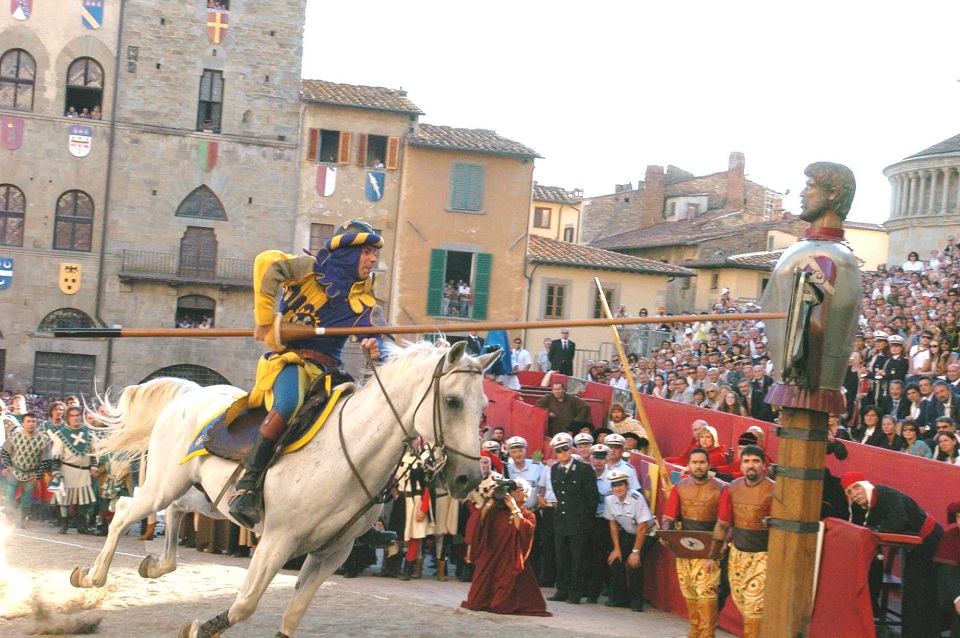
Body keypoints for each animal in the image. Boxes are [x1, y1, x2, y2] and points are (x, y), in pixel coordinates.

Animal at [73, 344, 496, 638]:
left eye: (483, 405)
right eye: (452, 401)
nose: (469, 479)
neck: (349, 452)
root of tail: (191, 391)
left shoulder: (331, 553)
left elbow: (292, 615)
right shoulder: (278, 541)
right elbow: (245, 604)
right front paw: (197, 629)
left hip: (204, 494)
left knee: (176, 510)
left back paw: (155, 565)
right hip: (163, 484)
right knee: (125, 510)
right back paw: (90, 577)